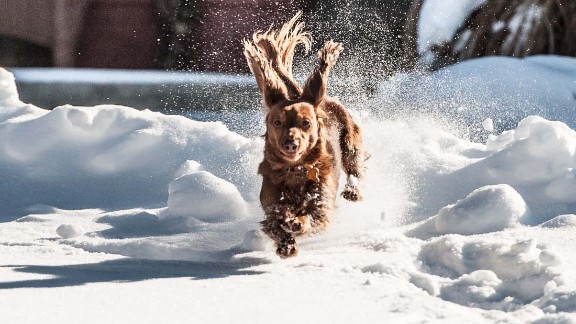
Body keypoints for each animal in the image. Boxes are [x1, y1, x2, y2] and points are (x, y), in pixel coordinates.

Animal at [243, 13, 364, 258]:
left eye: (306, 123)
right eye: (277, 122)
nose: (291, 143)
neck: (296, 170)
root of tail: (302, 93)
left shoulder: (322, 203)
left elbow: (311, 216)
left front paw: (297, 223)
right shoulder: (271, 204)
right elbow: (277, 221)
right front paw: (286, 244)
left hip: (349, 143)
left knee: (353, 170)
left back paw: (352, 191)